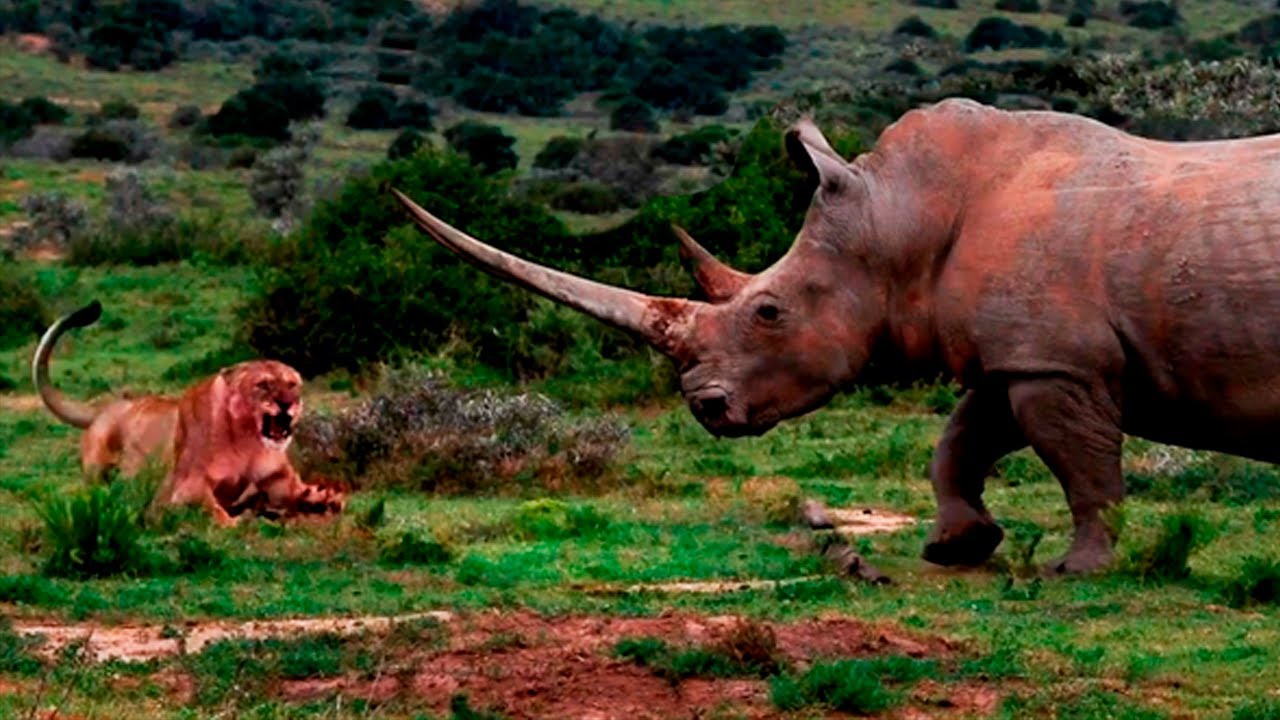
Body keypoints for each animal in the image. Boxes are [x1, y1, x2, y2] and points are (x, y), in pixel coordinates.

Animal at [32, 300, 345, 526]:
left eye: (292, 384)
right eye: (263, 385)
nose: (287, 403)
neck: (248, 441)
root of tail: (105, 408)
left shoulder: (279, 480)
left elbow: (303, 492)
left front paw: (325, 499)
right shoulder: (185, 489)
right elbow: (212, 509)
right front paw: (239, 521)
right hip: (99, 473)